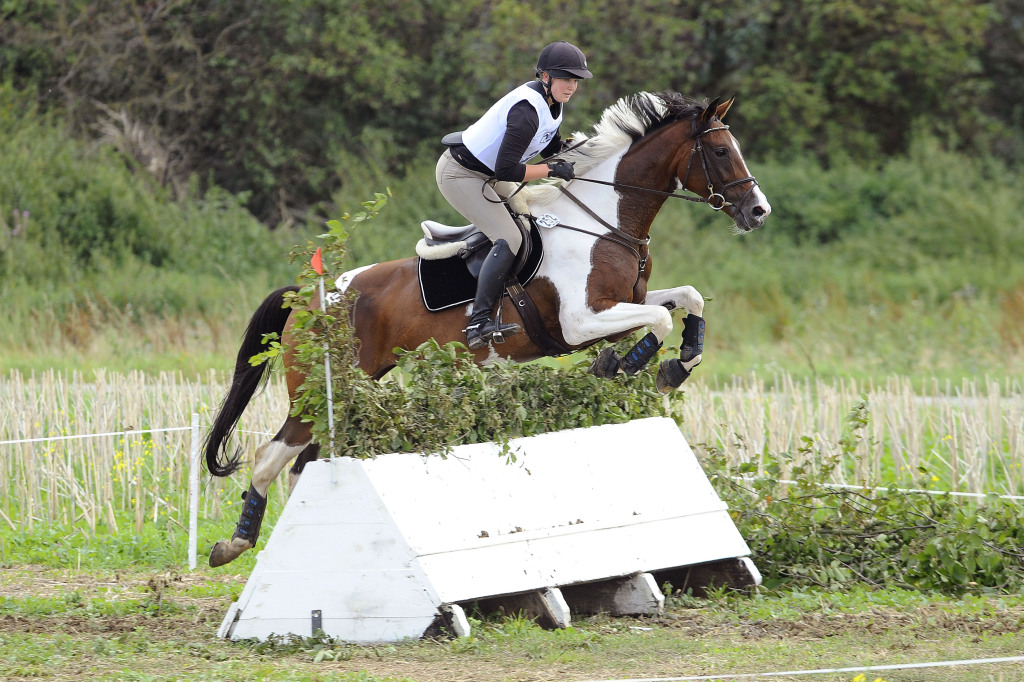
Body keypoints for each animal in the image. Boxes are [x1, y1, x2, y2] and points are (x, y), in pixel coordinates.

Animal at [203, 91, 770, 569]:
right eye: (722, 151)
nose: (758, 212)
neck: (604, 223)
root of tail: (309, 299)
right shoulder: (580, 322)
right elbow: (658, 319)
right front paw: (624, 366)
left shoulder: (618, 306)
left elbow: (687, 299)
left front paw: (677, 363)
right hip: (317, 392)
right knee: (269, 458)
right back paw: (234, 544)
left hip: (346, 390)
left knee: (303, 463)